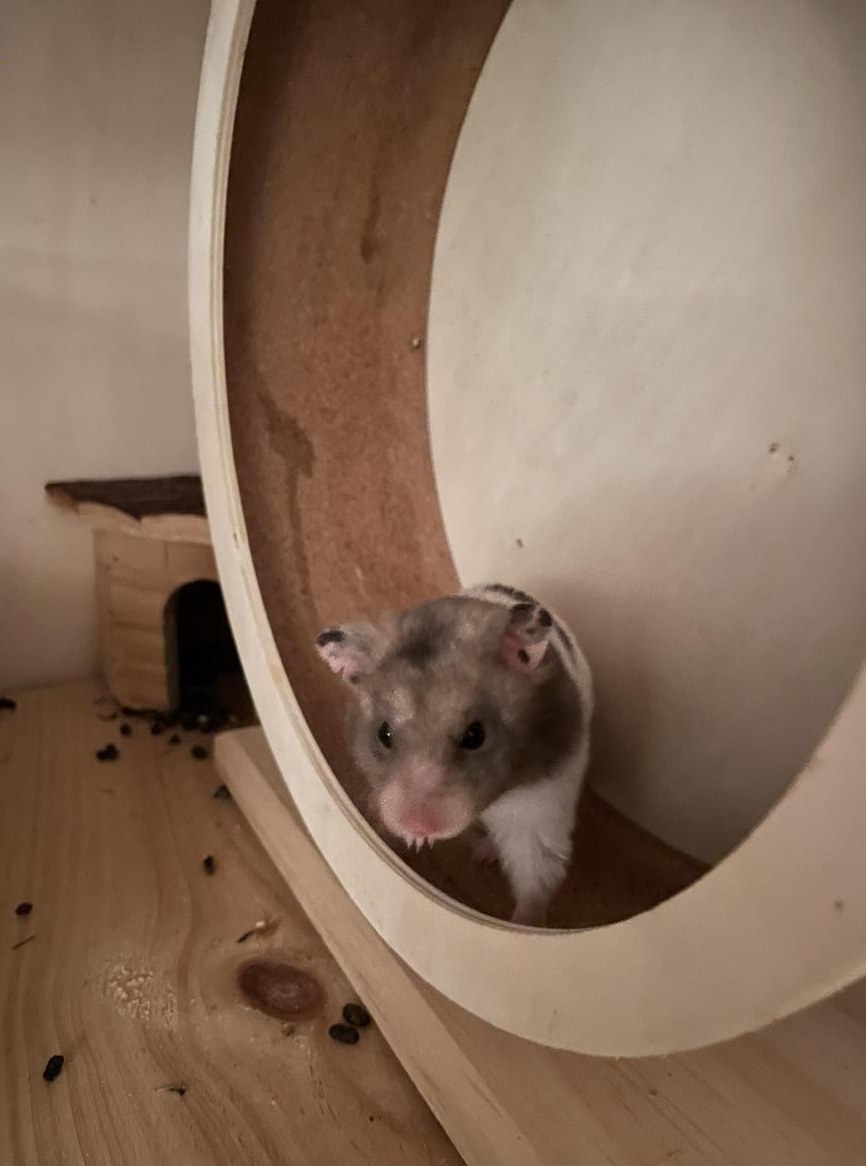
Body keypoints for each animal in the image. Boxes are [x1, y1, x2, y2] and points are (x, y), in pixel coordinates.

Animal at [315, 583, 593, 926]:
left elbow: (536, 876)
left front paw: (522, 925)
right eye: (383, 733)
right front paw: (418, 842)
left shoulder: (540, 808)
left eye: (476, 735)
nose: (418, 827)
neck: (490, 801)